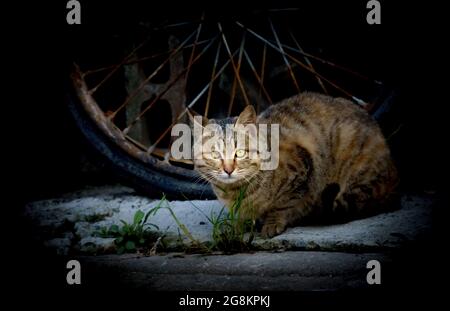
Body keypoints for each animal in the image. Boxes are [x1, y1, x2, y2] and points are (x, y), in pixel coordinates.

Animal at [188, 92, 400, 239]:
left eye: (240, 152)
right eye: (214, 154)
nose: (228, 169)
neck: (237, 192)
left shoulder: (301, 167)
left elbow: (284, 204)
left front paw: (272, 223)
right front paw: (237, 225)